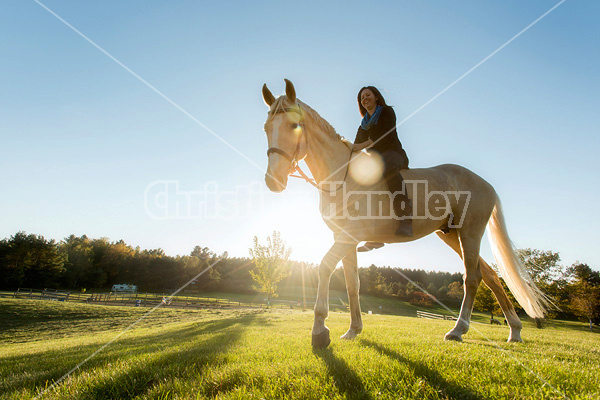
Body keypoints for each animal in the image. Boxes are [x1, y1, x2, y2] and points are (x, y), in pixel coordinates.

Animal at [262, 79, 548, 348]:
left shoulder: (347, 237)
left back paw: (458, 330)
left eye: (294, 126)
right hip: (451, 234)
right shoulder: (345, 239)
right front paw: (353, 330)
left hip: (470, 233)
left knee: (473, 278)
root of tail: (485, 183)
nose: (273, 181)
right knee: (491, 277)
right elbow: (352, 283)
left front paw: (320, 331)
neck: (343, 176)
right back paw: (515, 331)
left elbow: (323, 269)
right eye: (266, 128)